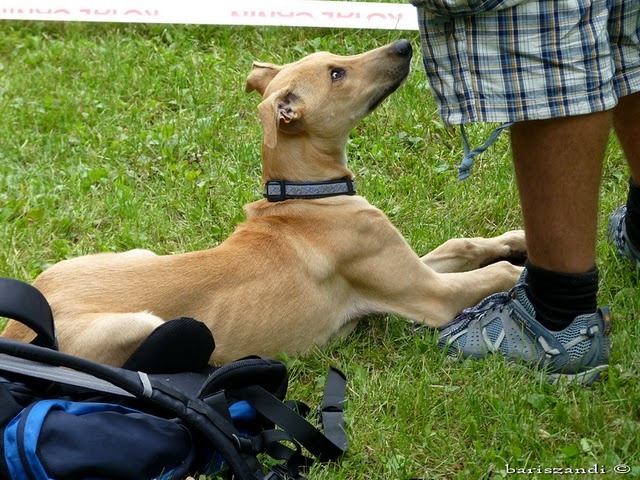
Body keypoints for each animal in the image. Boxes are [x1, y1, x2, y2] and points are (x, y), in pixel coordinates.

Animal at [1, 41, 524, 366]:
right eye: (337, 74)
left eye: (335, 60)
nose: (403, 46)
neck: (307, 197)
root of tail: (14, 333)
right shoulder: (428, 295)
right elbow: (497, 274)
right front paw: (525, 273)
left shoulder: (409, 265)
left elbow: (464, 244)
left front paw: (518, 238)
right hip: (142, 324)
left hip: (131, 256)